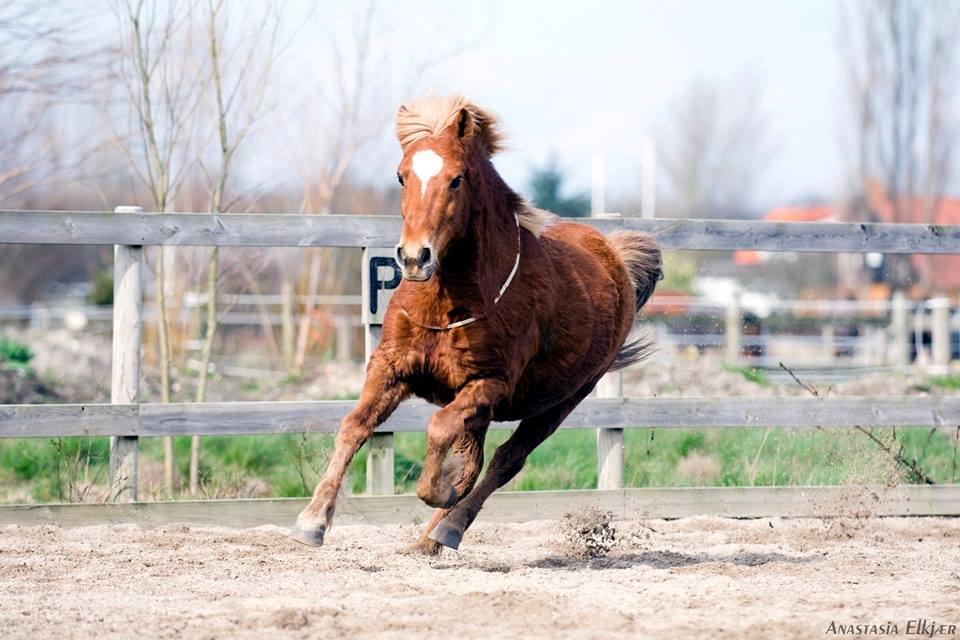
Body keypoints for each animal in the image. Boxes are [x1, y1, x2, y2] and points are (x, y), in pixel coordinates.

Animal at [290, 96, 660, 556]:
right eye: (401, 176)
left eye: (456, 179)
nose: (414, 258)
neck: (448, 305)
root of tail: (615, 257)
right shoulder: (390, 368)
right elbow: (355, 426)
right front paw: (311, 521)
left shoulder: (488, 384)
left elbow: (441, 432)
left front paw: (442, 486)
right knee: (480, 457)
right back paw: (428, 538)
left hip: (562, 401)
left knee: (505, 460)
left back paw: (448, 526)